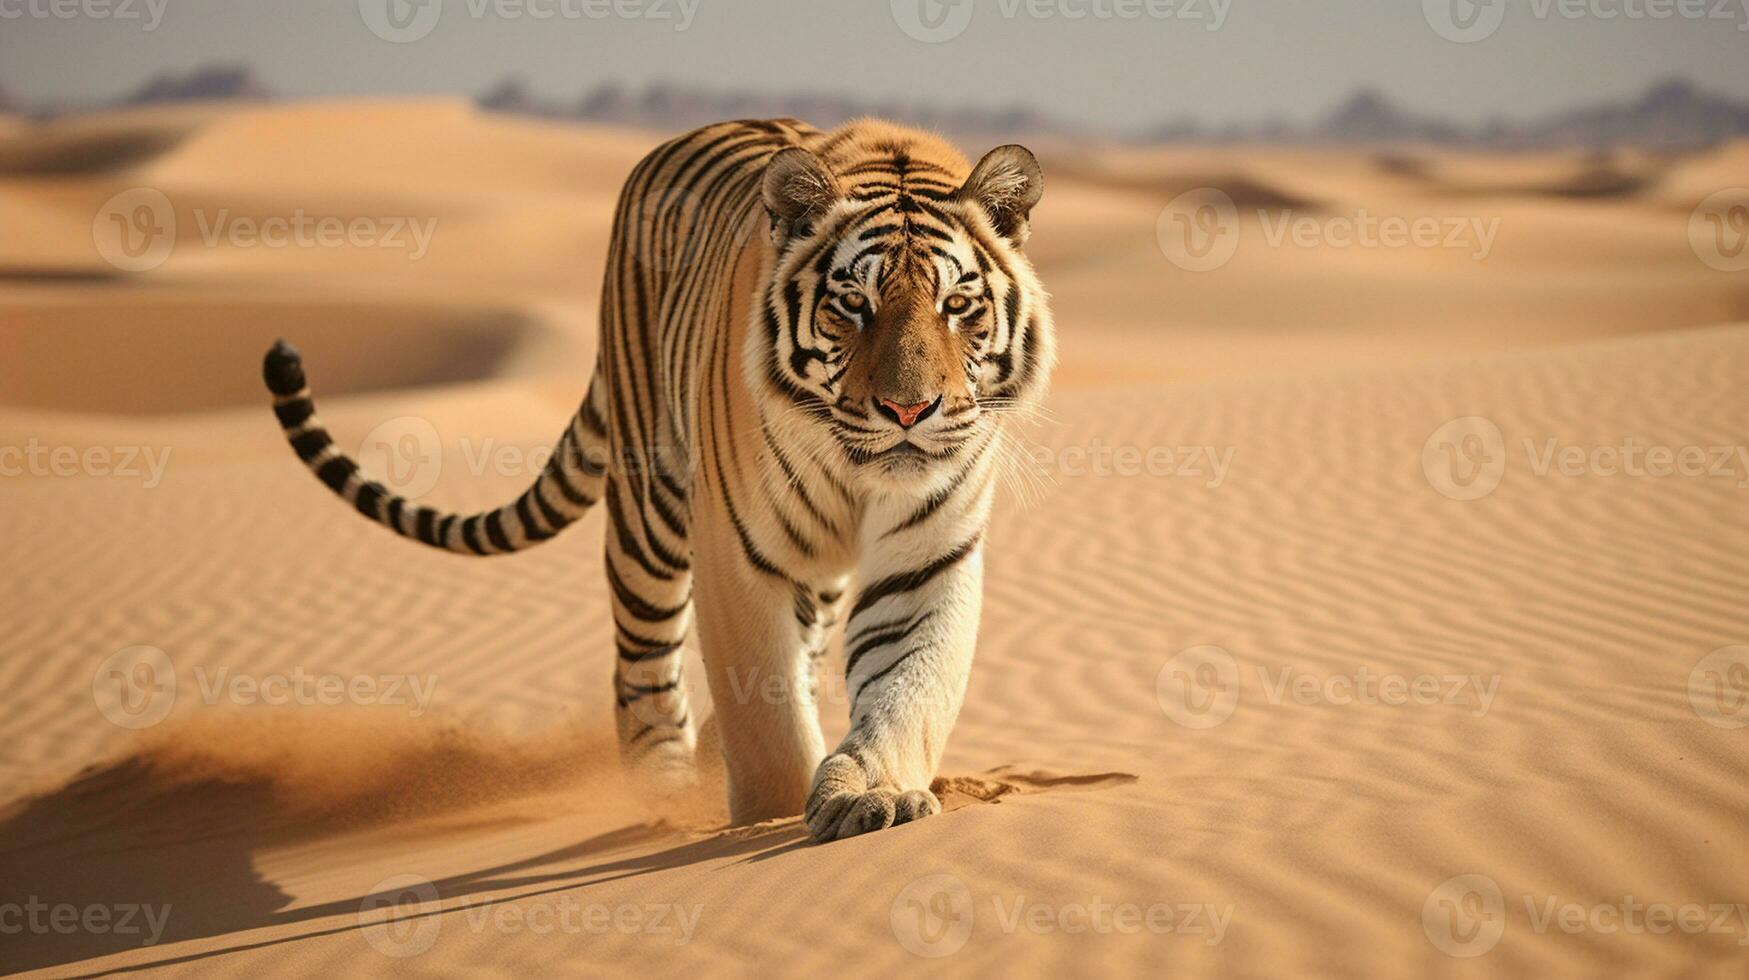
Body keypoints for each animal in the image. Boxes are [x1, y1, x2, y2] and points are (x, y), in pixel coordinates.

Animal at [258, 116, 1049, 843]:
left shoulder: (928, 555)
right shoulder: (734, 551)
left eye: (957, 305)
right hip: (649, 516)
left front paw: (873, 796)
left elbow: (906, 688)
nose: (909, 410)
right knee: (642, 670)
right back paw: (663, 800)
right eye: (853, 304)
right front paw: (765, 818)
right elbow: (765, 720)